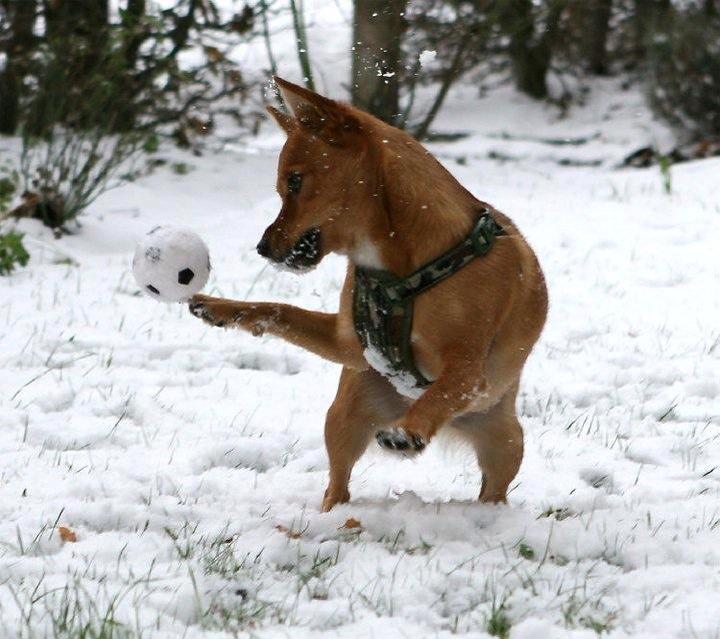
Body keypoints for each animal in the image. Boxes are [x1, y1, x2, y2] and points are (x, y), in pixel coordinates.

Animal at [189, 77, 548, 512]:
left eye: (294, 182)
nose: (262, 247)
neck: (399, 269)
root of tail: (457, 427)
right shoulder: (348, 344)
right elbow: (277, 308)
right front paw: (218, 307)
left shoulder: (468, 371)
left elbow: (439, 393)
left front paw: (408, 432)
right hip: (346, 413)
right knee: (337, 484)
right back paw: (331, 514)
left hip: (506, 440)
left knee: (492, 486)